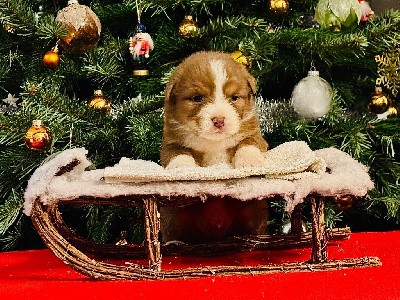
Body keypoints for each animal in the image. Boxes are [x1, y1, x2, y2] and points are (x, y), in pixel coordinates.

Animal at [159, 51, 268, 244]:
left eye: (234, 97)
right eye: (197, 98)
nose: (219, 120)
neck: (213, 143)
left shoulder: (254, 134)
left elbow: (248, 143)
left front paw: (250, 162)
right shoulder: (170, 143)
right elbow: (179, 153)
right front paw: (182, 168)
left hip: (253, 210)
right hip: (174, 216)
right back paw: (175, 243)